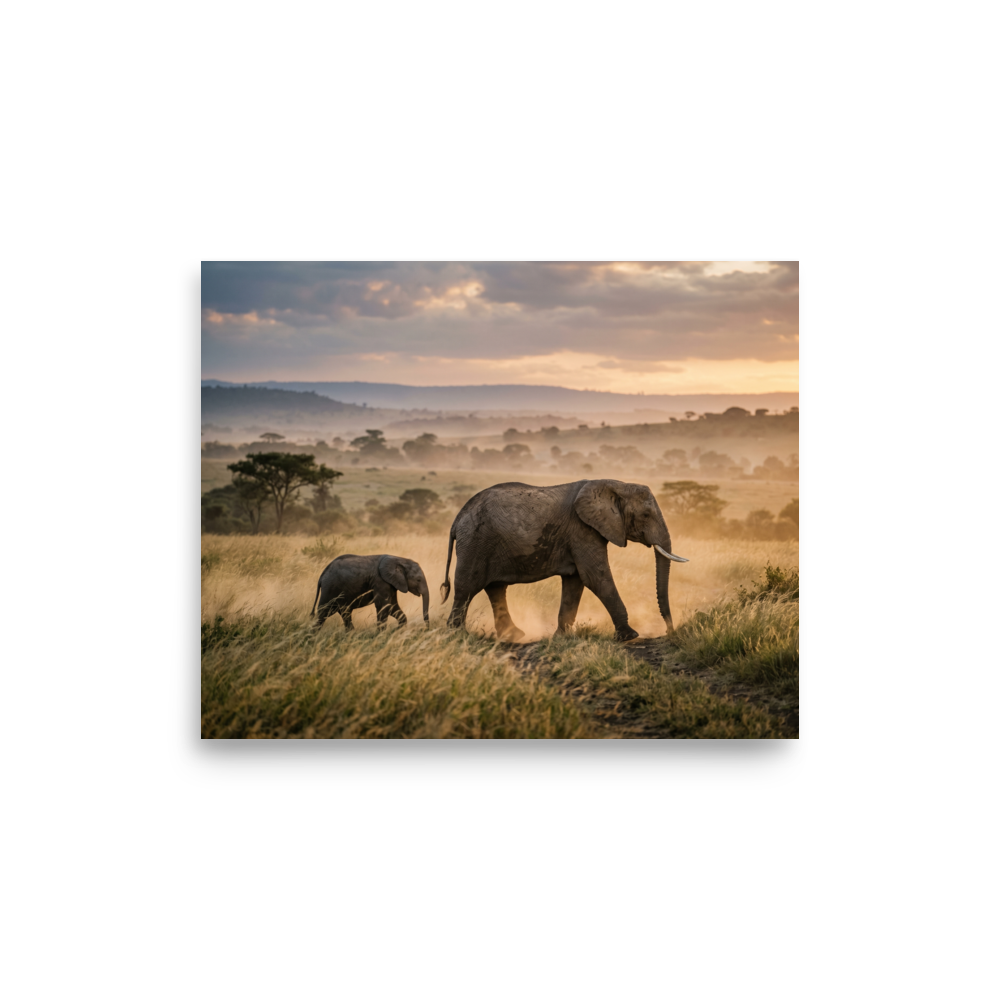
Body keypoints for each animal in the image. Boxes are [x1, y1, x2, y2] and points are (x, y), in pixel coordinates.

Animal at [440, 479, 688, 642]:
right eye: (646, 515)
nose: (669, 631)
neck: (616, 484)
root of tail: (457, 519)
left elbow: (575, 582)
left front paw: (561, 638)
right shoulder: (582, 530)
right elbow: (596, 577)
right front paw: (629, 636)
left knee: (495, 588)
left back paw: (513, 635)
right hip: (475, 542)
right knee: (467, 587)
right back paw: (457, 635)